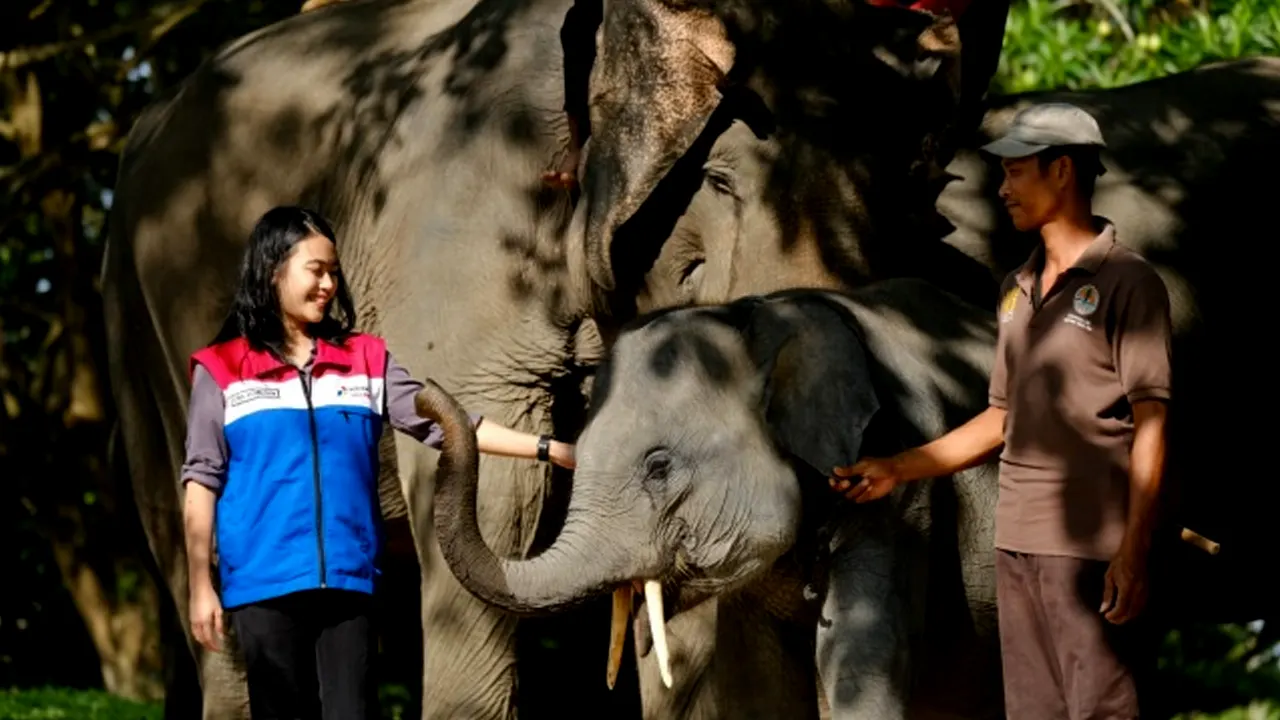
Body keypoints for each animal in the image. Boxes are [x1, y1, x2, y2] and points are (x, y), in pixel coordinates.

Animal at [422, 280, 1008, 717]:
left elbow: (862, 660)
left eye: (659, 467)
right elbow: (758, 682)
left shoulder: (902, 491)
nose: (428, 394)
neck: (764, 314)